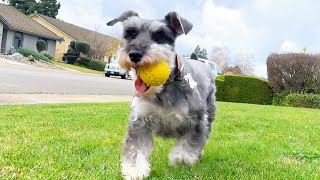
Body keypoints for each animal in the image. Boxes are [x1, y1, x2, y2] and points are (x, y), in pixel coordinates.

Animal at [108, 10, 218, 179]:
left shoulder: (197, 120)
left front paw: (181, 160)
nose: (134, 54)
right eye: (131, 32)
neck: (162, 90)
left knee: (204, 137)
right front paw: (135, 171)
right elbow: (135, 149)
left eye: (159, 34)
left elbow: (189, 144)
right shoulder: (139, 122)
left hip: (210, 115)